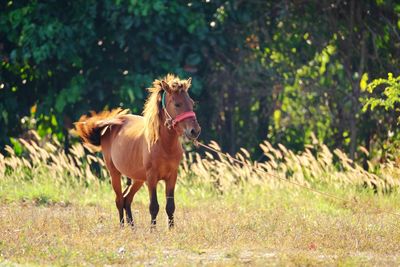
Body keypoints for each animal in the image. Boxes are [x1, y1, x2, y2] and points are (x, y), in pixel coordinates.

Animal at [74, 75, 200, 228]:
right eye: (177, 104)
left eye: (192, 103)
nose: (195, 131)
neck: (164, 145)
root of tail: (110, 125)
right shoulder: (151, 178)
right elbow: (154, 206)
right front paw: (153, 230)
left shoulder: (172, 177)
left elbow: (170, 206)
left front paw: (171, 230)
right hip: (115, 173)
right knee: (119, 200)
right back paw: (123, 228)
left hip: (138, 179)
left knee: (127, 199)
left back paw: (133, 228)